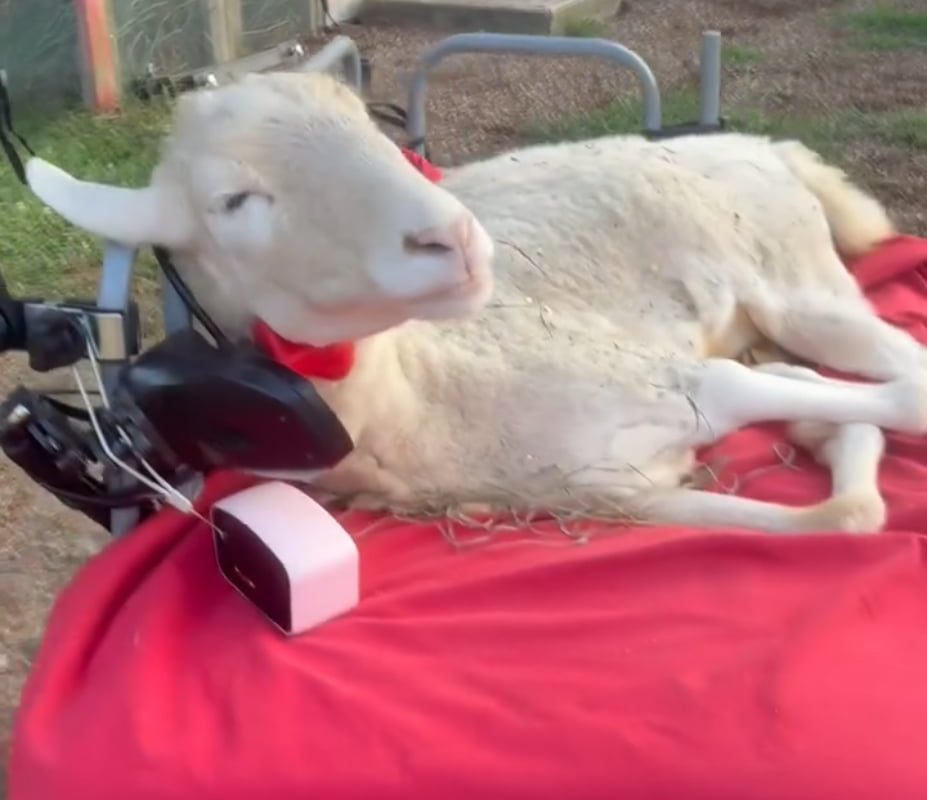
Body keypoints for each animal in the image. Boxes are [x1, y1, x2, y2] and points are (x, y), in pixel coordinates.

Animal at [23, 70, 927, 534]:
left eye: (377, 132)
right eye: (233, 201)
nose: (453, 236)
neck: (414, 395)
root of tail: (759, 143)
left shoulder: (665, 379)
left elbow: (892, 410)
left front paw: (845, 422)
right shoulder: (624, 490)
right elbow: (841, 511)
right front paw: (828, 432)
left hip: (801, 287)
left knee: (898, 363)